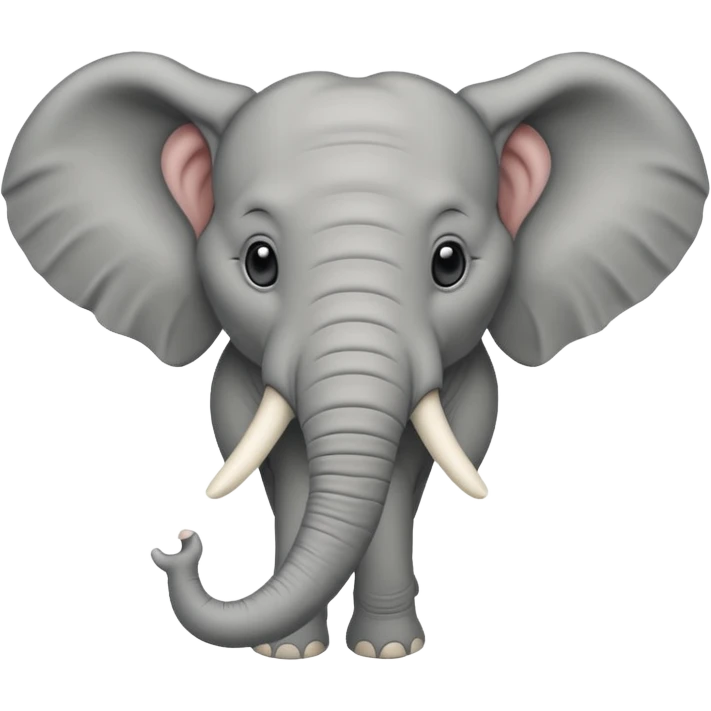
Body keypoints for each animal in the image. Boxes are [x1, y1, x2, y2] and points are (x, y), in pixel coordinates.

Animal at [2, 52, 707, 660]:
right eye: (260, 262)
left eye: (449, 262)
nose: (180, 543)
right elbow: (280, 464)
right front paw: (290, 652)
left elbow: (411, 472)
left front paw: (387, 650)